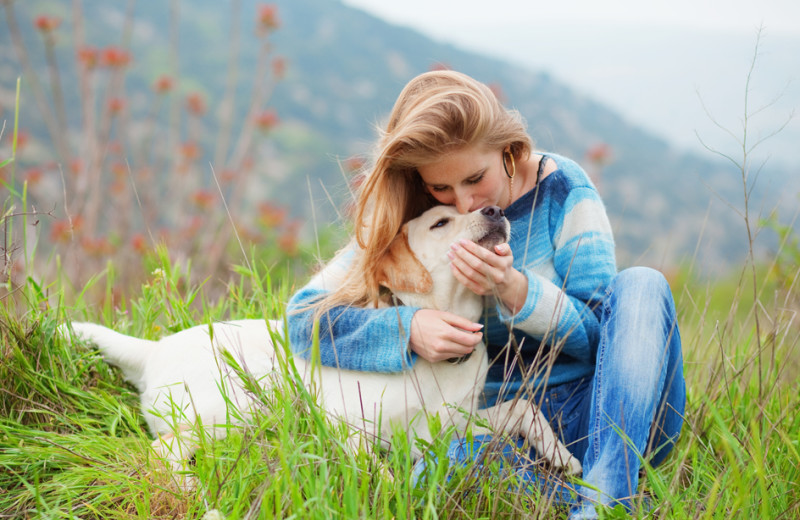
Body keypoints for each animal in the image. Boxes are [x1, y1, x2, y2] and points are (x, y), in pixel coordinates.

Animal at [57, 205, 580, 482]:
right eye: (440, 222)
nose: (495, 210)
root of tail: (152, 349)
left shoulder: (448, 427)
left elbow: (524, 409)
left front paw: (563, 457)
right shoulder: (353, 431)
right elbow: (382, 471)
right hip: (231, 412)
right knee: (159, 452)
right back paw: (189, 488)